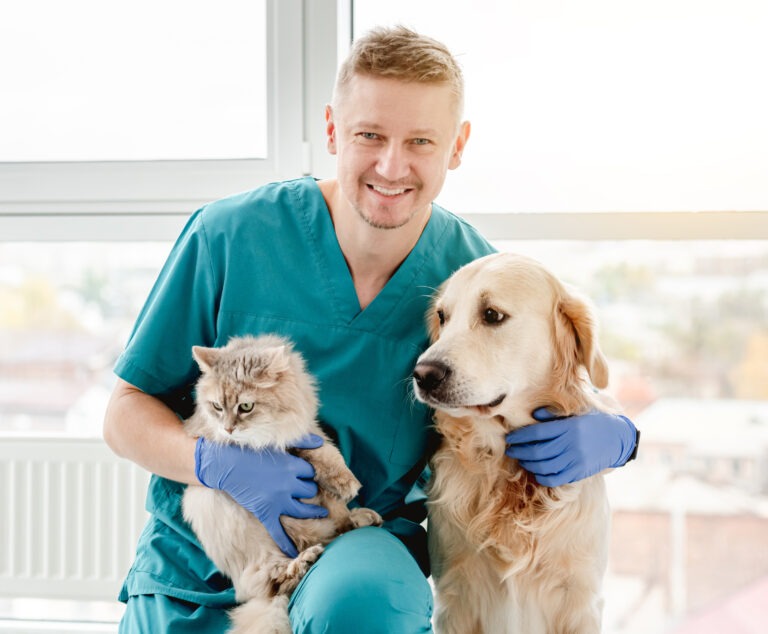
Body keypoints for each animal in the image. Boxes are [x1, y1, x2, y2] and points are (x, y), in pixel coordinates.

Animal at [183, 334, 380, 628]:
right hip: (231, 522)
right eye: (217, 407)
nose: (228, 429)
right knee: (273, 582)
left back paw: (360, 520)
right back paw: (303, 561)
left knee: (337, 528)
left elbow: (326, 455)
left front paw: (344, 482)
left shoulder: (306, 433)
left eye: (246, 407)